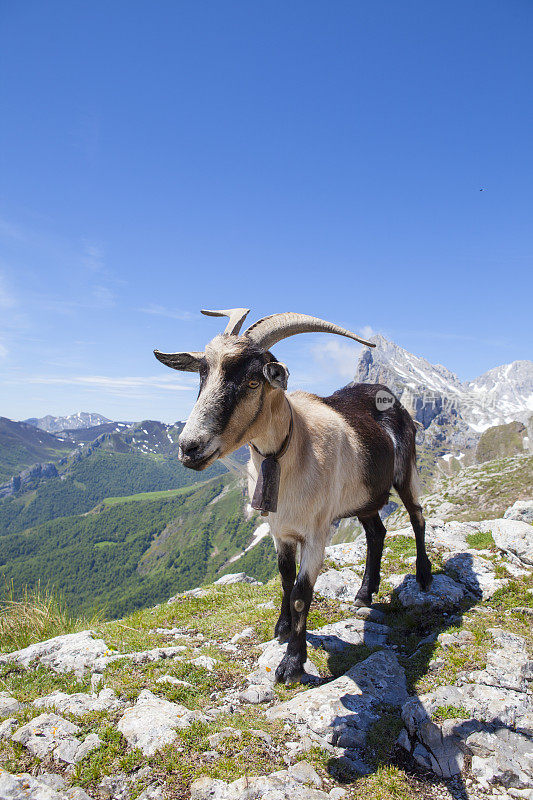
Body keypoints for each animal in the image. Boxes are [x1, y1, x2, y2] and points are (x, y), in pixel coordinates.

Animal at [155, 310, 432, 684]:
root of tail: (385, 392)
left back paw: (424, 576)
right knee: (377, 533)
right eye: (202, 374)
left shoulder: (316, 533)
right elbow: (285, 579)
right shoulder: (280, 531)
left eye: (254, 381)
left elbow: (302, 593)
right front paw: (282, 628)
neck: (295, 447)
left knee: (417, 516)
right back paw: (364, 594)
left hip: (406, 471)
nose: (189, 448)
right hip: (364, 496)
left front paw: (292, 663)